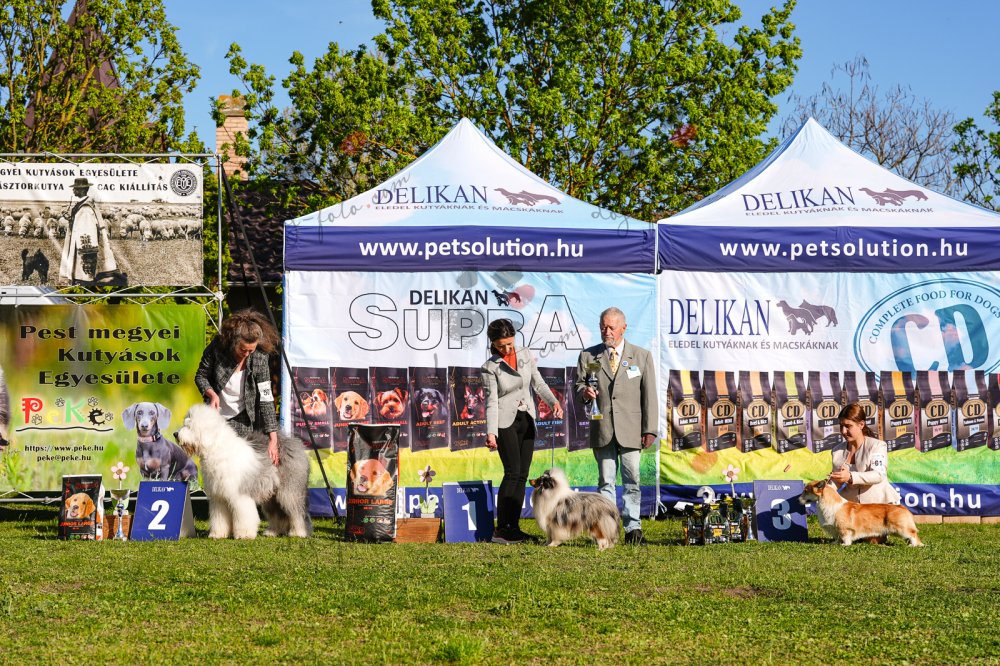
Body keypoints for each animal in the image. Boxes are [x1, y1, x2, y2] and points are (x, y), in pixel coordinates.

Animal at [175, 403, 312, 539]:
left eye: (189, 426)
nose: (175, 434)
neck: (217, 449)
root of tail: (297, 443)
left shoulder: (240, 495)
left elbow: (244, 516)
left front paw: (244, 534)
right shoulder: (218, 498)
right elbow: (219, 518)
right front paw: (218, 534)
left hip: (289, 489)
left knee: (297, 511)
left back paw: (298, 532)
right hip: (271, 494)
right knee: (277, 513)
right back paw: (272, 532)